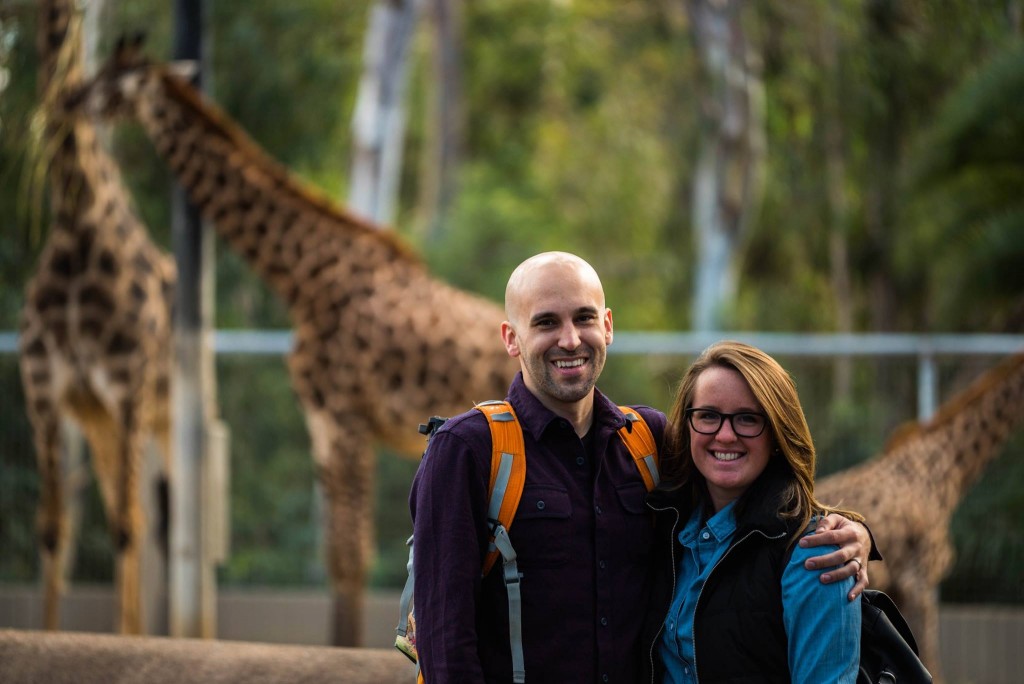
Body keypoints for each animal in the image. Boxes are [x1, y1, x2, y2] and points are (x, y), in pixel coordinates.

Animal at [72, 36, 516, 647]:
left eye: (111, 81)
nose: (68, 101)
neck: (303, 279)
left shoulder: (347, 416)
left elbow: (351, 556)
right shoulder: (323, 422)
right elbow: (337, 555)